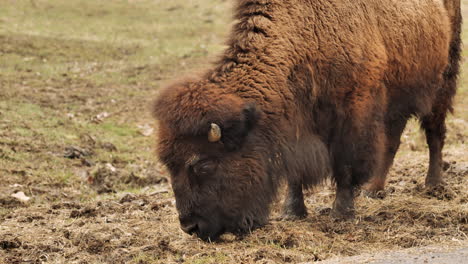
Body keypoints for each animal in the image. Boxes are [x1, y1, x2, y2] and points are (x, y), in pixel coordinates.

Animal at [153, 0, 460, 241]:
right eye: (169, 165)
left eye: (203, 164)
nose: (191, 227)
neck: (304, 32)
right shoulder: (296, 125)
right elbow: (294, 172)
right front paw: (292, 212)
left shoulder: (353, 111)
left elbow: (346, 165)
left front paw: (341, 212)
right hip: (397, 98)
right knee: (394, 140)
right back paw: (374, 190)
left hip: (443, 80)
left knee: (434, 133)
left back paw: (433, 184)